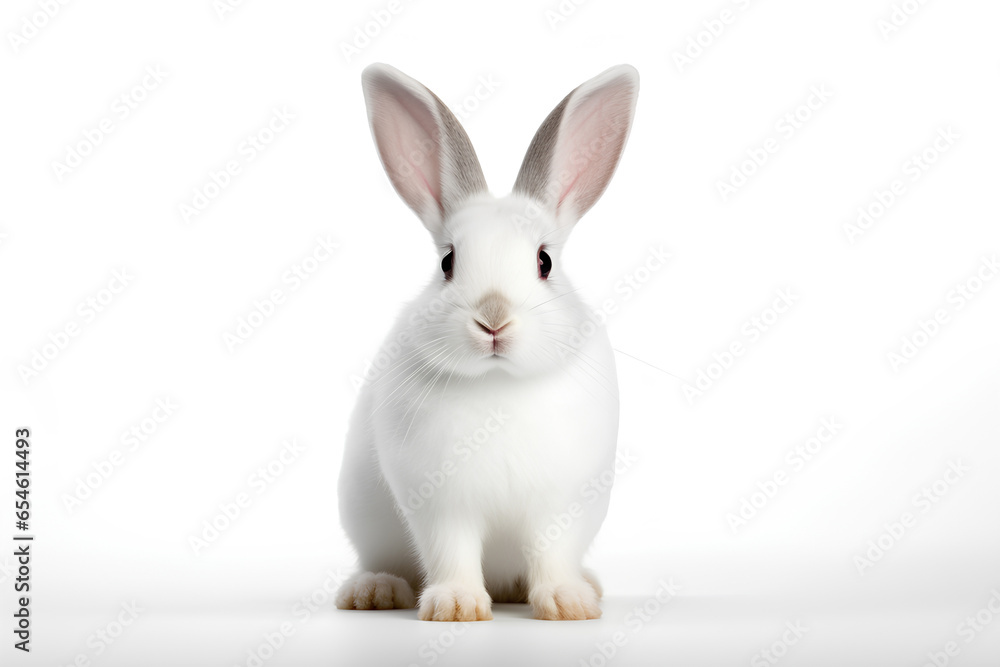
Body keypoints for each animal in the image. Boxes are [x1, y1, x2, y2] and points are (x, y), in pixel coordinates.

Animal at [335, 62, 639, 621]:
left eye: (544, 261)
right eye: (447, 262)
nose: (493, 319)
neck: (498, 384)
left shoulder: (558, 506)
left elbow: (551, 552)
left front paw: (567, 603)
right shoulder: (441, 506)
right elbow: (451, 552)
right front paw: (455, 607)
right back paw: (373, 591)